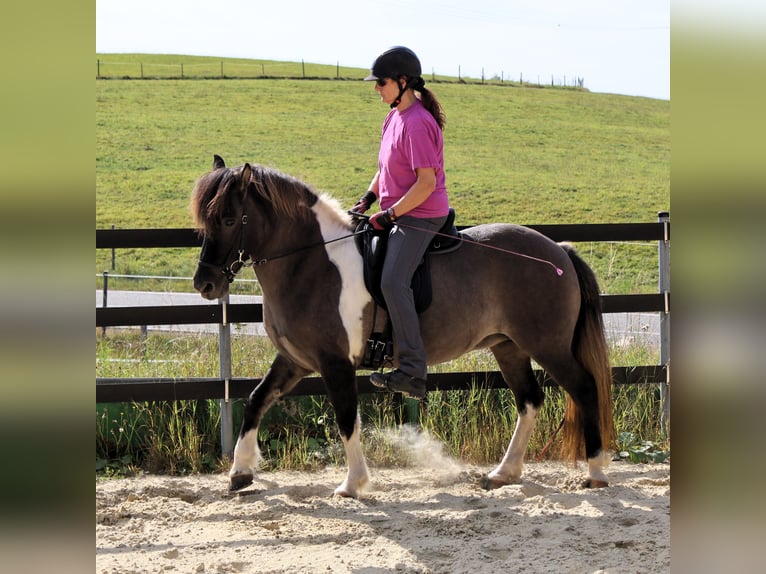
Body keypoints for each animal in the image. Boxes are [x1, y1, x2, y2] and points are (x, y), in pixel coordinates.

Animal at [191, 155, 615, 497]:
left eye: (229, 218)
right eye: (205, 220)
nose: (205, 284)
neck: (312, 263)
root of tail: (559, 250)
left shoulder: (335, 363)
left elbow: (346, 418)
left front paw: (353, 484)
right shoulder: (295, 360)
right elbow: (256, 399)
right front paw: (240, 472)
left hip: (549, 345)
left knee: (583, 388)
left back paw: (595, 472)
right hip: (508, 346)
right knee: (529, 400)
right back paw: (504, 473)